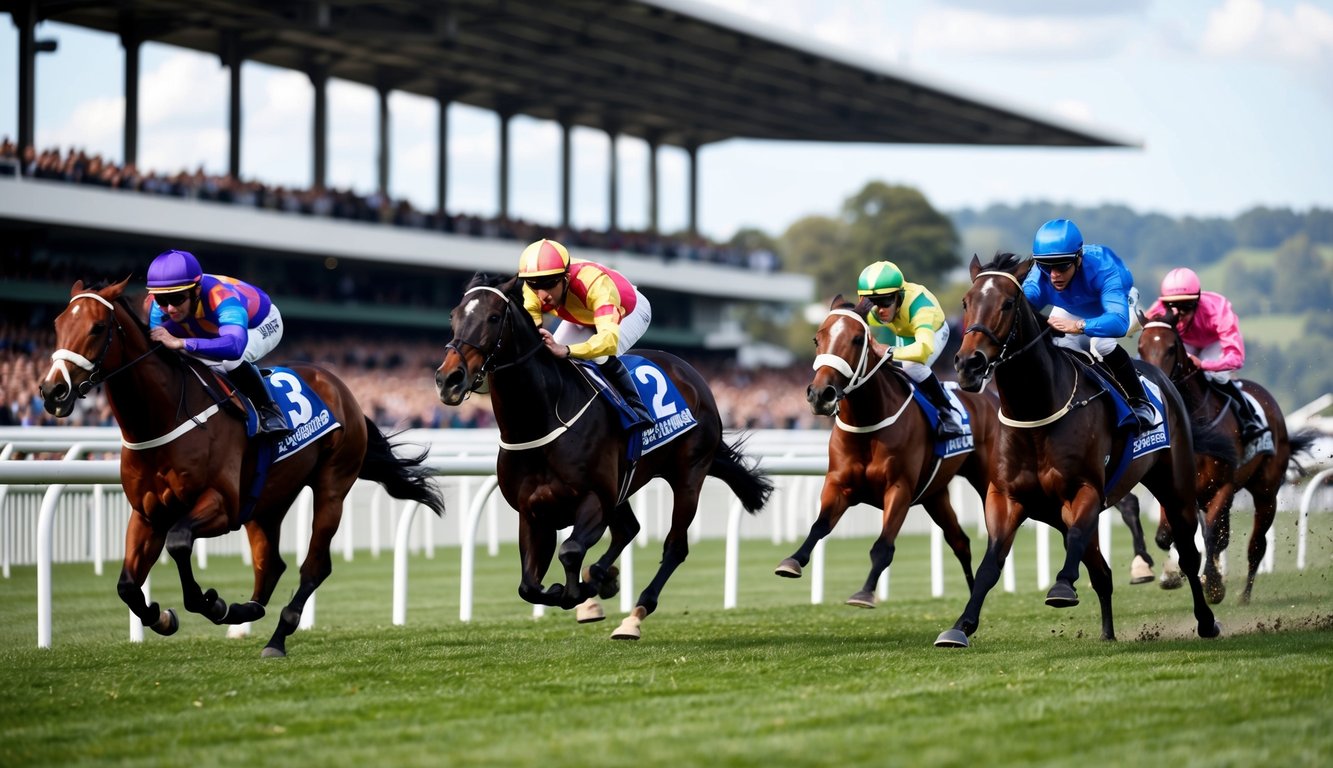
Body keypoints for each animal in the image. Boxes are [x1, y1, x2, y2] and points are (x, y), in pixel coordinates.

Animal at [35, 278, 442, 656]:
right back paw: (242, 612)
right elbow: (127, 586)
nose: (53, 391)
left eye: (97, 327)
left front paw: (206, 602)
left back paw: (276, 638)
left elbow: (179, 542)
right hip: (267, 502)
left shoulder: (222, 505)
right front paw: (163, 617)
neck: (163, 418)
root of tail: (340, 387)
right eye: (57, 324)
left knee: (314, 566)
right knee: (271, 564)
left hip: (332, 485)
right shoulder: (148, 514)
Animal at [431, 273, 778, 640]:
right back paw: (603, 577)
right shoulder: (533, 512)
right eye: (453, 316)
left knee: (674, 547)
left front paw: (580, 590)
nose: (449, 379)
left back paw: (633, 615)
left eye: (494, 317)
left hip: (688, 475)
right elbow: (528, 586)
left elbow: (570, 552)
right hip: (623, 487)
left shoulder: (594, 499)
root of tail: (692, 374)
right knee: (628, 528)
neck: (542, 418)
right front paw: (588, 585)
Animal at [778, 298, 997, 605]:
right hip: (935, 495)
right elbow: (819, 526)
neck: (867, 423)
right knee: (960, 542)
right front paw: (792, 561)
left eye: (858, 339)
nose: (821, 395)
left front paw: (865, 592)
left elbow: (884, 546)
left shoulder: (899, 488)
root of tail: (988, 395)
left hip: (986, 478)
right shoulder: (838, 484)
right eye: (817, 339)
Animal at [938, 256, 1221, 648]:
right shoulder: (1006, 497)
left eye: (1008, 304)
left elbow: (1074, 541)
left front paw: (1060, 588)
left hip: (1174, 486)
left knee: (1189, 556)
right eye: (966, 302)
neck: (1035, 412)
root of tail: (1161, 377)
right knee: (1101, 571)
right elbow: (991, 564)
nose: (969, 364)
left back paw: (1206, 620)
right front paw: (960, 626)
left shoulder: (1084, 490)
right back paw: (1108, 633)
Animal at [1130, 304, 1317, 600]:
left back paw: (1243, 595)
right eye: (1141, 346)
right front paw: (1173, 572)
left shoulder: (1223, 485)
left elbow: (1211, 536)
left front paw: (1214, 586)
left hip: (1265, 493)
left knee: (1253, 544)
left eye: (1171, 347)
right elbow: (1165, 535)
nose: (1154, 384)